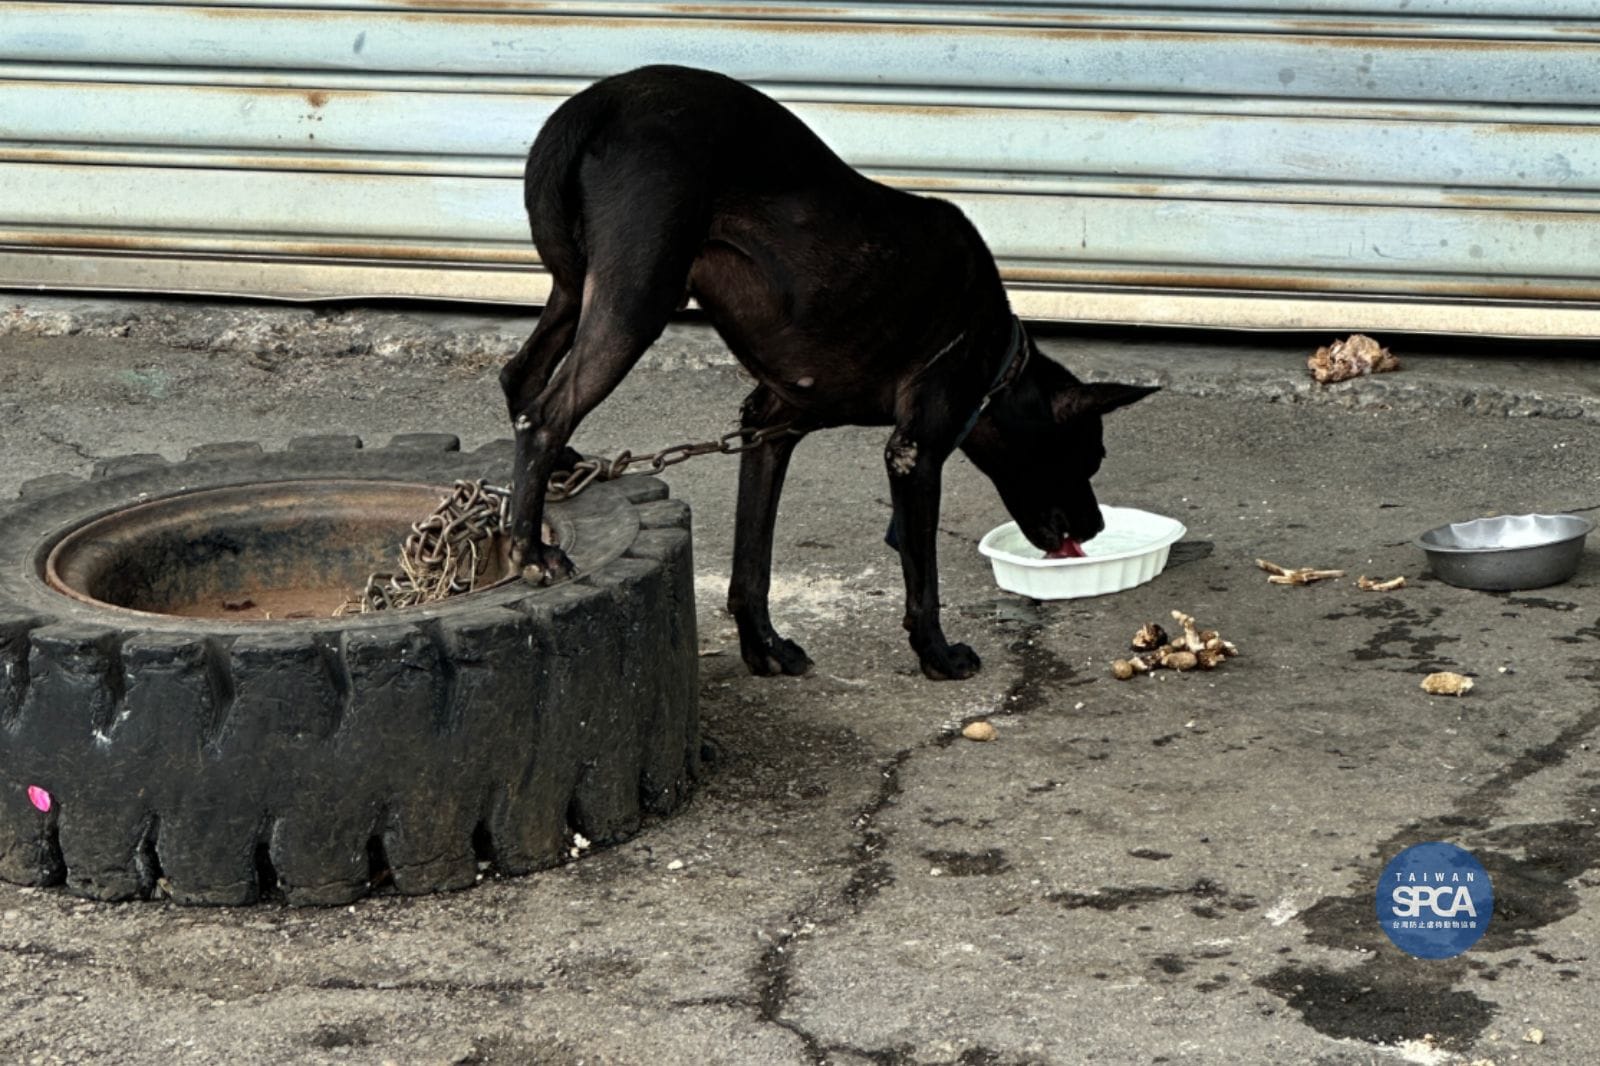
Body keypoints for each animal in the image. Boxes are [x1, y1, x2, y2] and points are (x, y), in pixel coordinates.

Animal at [499, 66, 1152, 675]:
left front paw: (764, 646)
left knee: (520, 377)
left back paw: (558, 474)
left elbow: (752, 565)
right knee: (547, 412)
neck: (997, 358)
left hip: (576, 286)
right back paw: (530, 549)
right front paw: (937, 655)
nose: (1096, 527)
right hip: (638, 297)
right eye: (1090, 457)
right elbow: (923, 581)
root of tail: (599, 100)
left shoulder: (769, 428)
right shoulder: (914, 452)